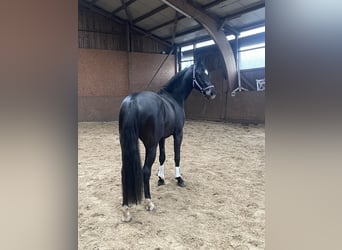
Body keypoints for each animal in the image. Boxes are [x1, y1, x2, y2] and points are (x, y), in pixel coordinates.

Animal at [119, 59, 215, 222]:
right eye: (199, 74)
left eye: (207, 72)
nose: (211, 93)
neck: (173, 98)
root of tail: (132, 101)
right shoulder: (178, 134)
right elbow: (177, 156)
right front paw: (179, 179)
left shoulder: (162, 138)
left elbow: (162, 157)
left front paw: (161, 178)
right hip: (150, 146)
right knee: (145, 170)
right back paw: (149, 202)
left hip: (126, 146)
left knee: (124, 171)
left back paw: (126, 209)